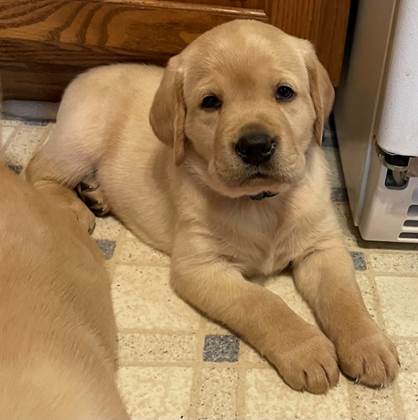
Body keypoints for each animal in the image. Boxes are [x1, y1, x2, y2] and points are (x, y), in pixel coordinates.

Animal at [26, 19, 398, 394]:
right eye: (210, 102)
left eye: (284, 93)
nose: (255, 145)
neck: (262, 203)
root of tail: (82, 76)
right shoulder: (201, 267)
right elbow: (262, 303)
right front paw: (306, 349)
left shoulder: (322, 246)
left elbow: (343, 296)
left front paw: (369, 344)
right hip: (79, 141)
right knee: (37, 167)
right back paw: (73, 206)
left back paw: (96, 193)